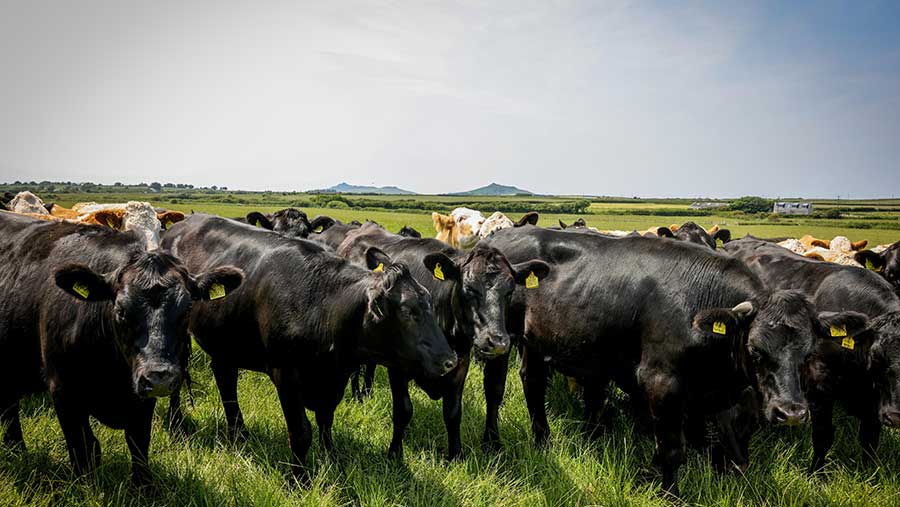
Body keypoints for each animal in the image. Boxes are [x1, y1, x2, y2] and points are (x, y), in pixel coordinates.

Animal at [0, 213, 243, 484]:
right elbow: (84, 449)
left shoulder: (142, 396)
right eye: (121, 310)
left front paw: (143, 486)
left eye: (187, 309)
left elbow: (138, 443)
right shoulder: (63, 390)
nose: (159, 377)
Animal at [160, 215, 458, 480]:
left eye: (430, 304)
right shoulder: (286, 376)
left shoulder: (334, 379)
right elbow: (301, 433)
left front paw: (332, 460)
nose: (449, 360)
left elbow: (326, 420)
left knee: (225, 380)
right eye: (408, 312)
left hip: (226, 344)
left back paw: (239, 433)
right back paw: (176, 423)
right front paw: (299, 480)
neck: (323, 306)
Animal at [338, 222, 548, 460]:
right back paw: (359, 395)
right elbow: (403, 410)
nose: (497, 342)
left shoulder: (459, 364)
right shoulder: (398, 369)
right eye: (469, 288)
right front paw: (394, 454)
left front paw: (455, 454)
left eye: (510, 291)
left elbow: (453, 412)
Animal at [486, 227, 828, 496]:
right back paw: (494, 443)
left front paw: (652, 473)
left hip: (535, 342)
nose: (792, 413)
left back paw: (542, 440)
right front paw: (669, 493)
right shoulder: (661, 380)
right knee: (496, 390)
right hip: (500, 340)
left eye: (807, 353)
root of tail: (501, 236)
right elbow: (673, 447)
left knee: (532, 382)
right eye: (756, 350)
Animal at [720, 238, 900, 472]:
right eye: (877, 356)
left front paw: (868, 472)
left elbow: (870, 440)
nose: (896, 416)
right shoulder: (819, 388)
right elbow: (823, 437)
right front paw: (817, 472)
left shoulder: (874, 401)